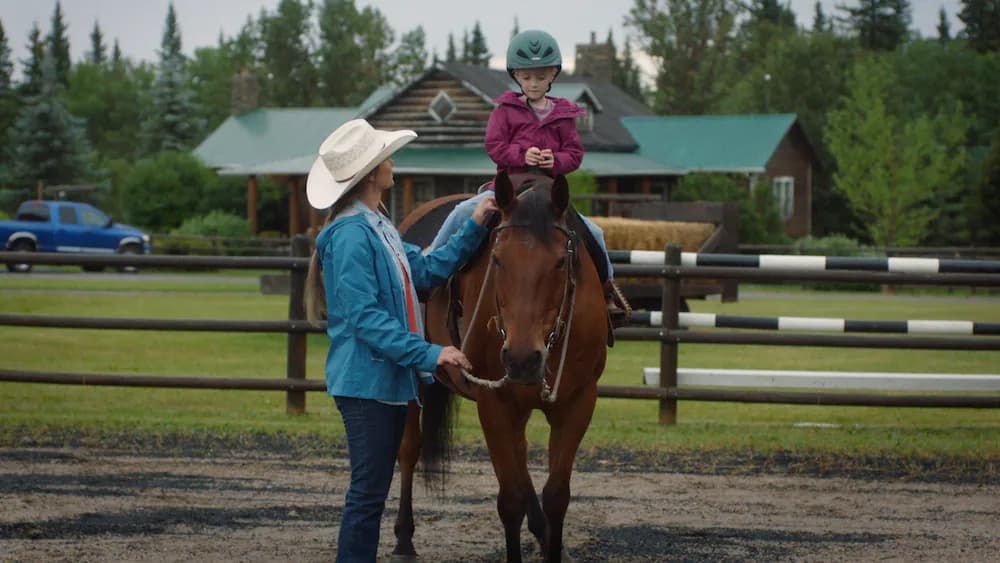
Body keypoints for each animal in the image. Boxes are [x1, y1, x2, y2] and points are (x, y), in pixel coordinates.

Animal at [390, 173, 608, 563]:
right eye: (498, 259)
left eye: (559, 263)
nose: (522, 359)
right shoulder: (495, 405)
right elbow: (510, 501)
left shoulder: (578, 403)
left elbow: (556, 495)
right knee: (409, 448)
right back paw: (404, 538)